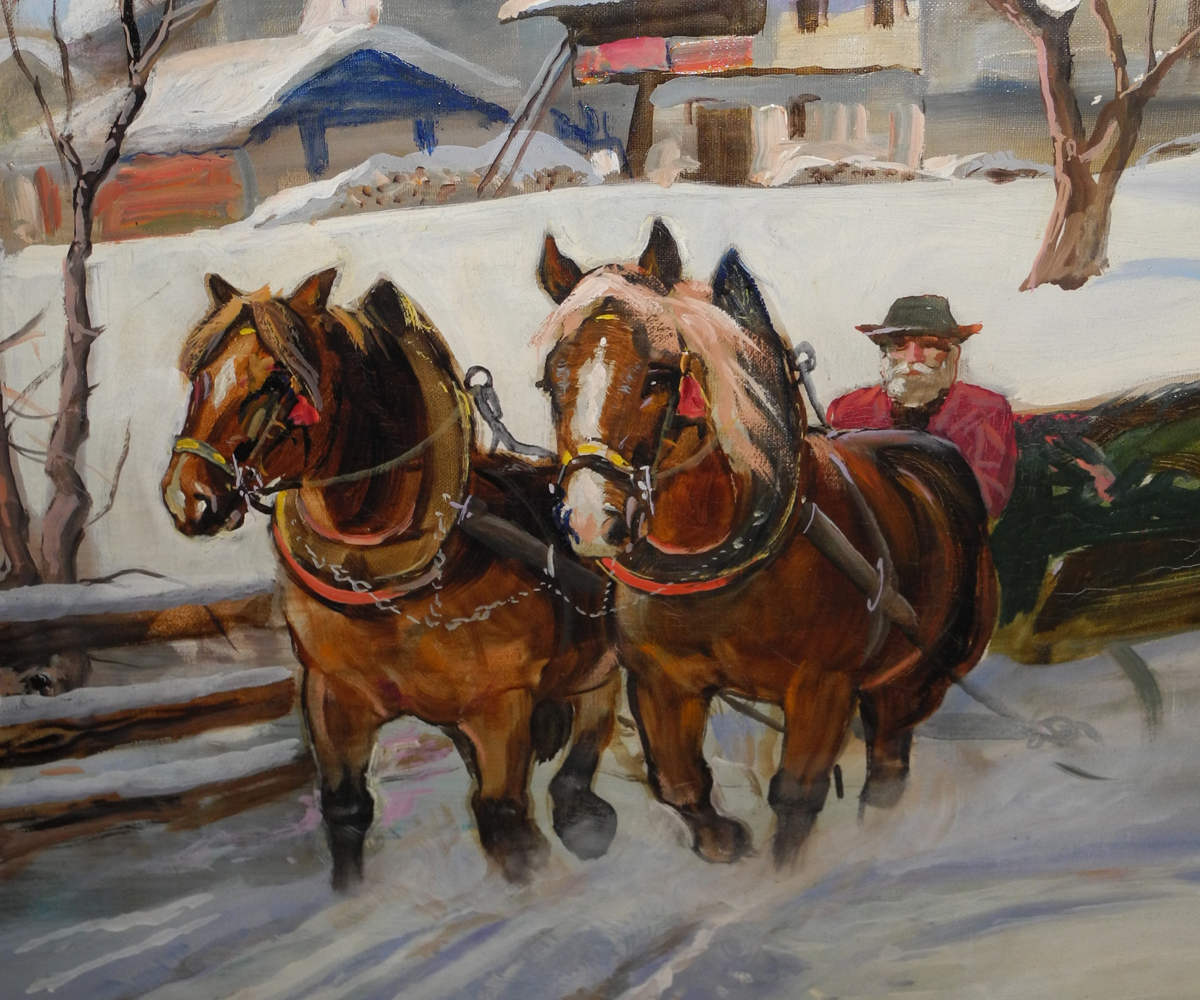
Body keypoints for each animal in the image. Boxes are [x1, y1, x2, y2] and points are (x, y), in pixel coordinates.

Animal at [162, 268, 620, 886]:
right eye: (199, 375)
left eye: (278, 380)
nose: (188, 497)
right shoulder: (333, 697)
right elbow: (347, 810)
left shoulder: (501, 709)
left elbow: (506, 819)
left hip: (598, 668)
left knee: (592, 725)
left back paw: (584, 811)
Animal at [534, 220, 998, 866]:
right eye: (550, 378)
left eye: (658, 375)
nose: (586, 516)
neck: (724, 558)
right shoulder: (659, 681)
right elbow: (680, 784)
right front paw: (725, 841)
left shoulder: (824, 687)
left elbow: (796, 798)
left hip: (917, 674)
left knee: (888, 765)